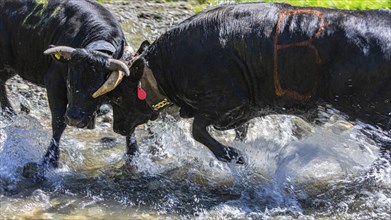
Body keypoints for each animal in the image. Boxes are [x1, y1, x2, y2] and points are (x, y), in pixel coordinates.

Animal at [0, 0, 138, 170]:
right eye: (69, 83)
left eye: (97, 89)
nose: (74, 118)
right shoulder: (54, 83)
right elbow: (58, 122)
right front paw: (50, 159)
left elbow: (129, 126)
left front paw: (133, 158)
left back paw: (11, 116)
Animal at [102, 2, 391, 164]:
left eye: (117, 97)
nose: (117, 128)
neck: (167, 66)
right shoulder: (243, 111)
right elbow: (239, 132)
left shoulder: (226, 100)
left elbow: (198, 130)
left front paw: (232, 156)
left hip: (373, 116)